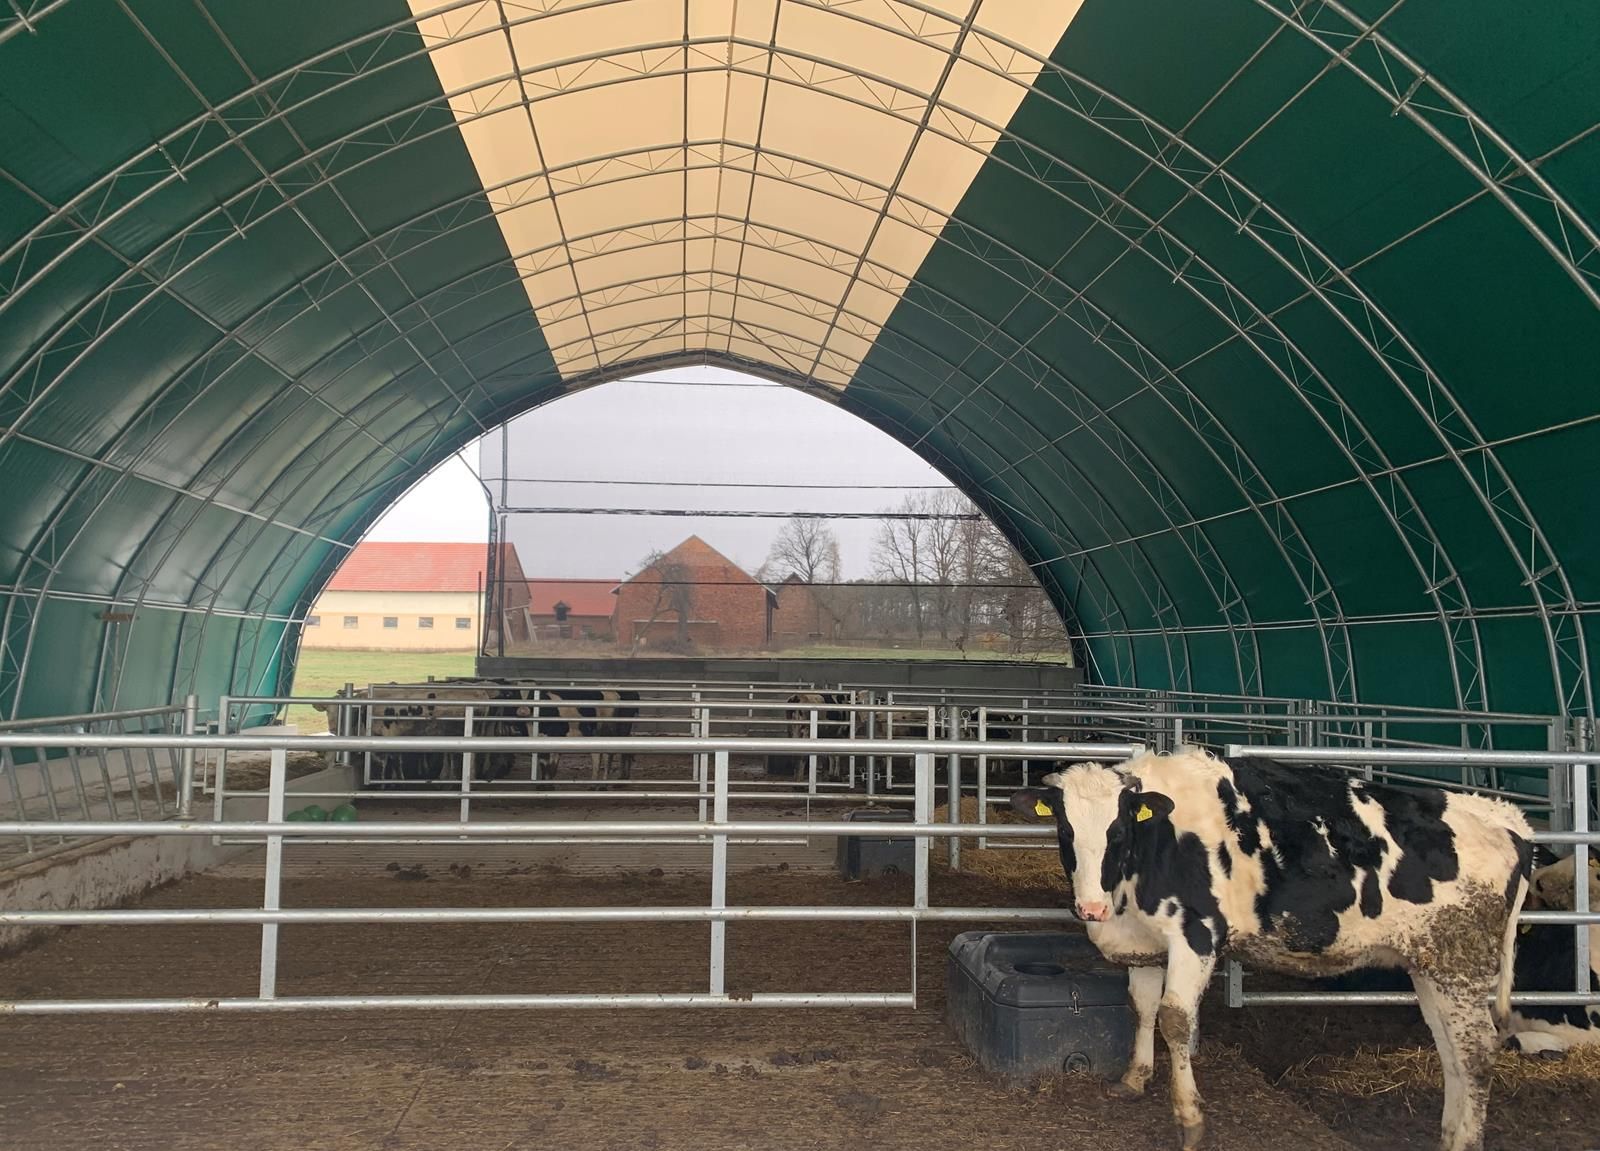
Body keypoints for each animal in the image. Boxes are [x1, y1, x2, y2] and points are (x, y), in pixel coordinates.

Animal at [1011, 747, 1532, 1151]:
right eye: (1065, 831)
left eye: (1118, 831)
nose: (1090, 907)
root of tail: (1505, 818)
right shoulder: (1147, 940)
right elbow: (1142, 1005)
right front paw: (1135, 1079)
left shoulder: (1197, 935)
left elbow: (1175, 1019)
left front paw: (1190, 1119)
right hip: (1430, 965)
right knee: (1450, 1047)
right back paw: (1449, 1134)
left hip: (1460, 963)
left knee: (1477, 1051)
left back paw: (1465, 1139)